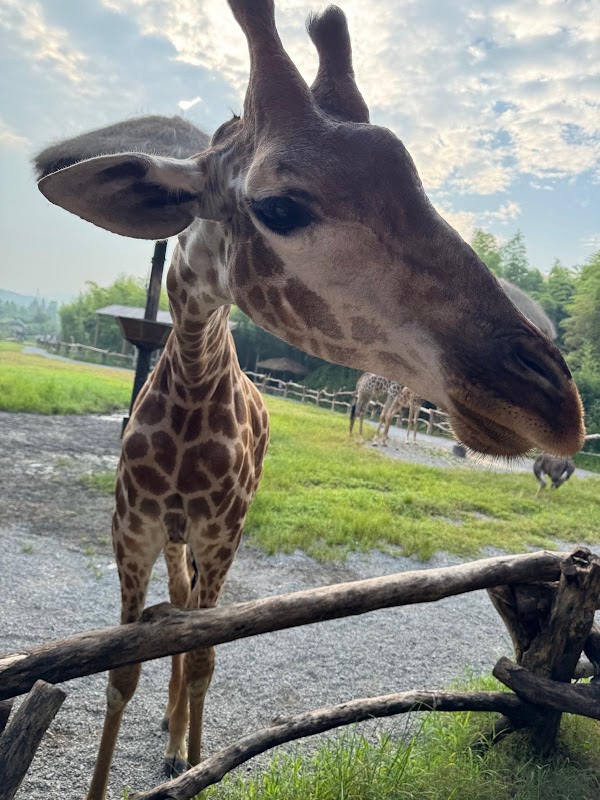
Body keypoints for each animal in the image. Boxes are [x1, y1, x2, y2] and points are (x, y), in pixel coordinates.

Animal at [35, 2, 585, 796]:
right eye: (280, 206)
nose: (553, 405)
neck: (191, 392)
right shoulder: (131, 532)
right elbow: (121, 668)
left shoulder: (222, 533)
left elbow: (201, 653)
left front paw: (191, 762)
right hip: (174, 539)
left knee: (193, 625)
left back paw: (175, 739)